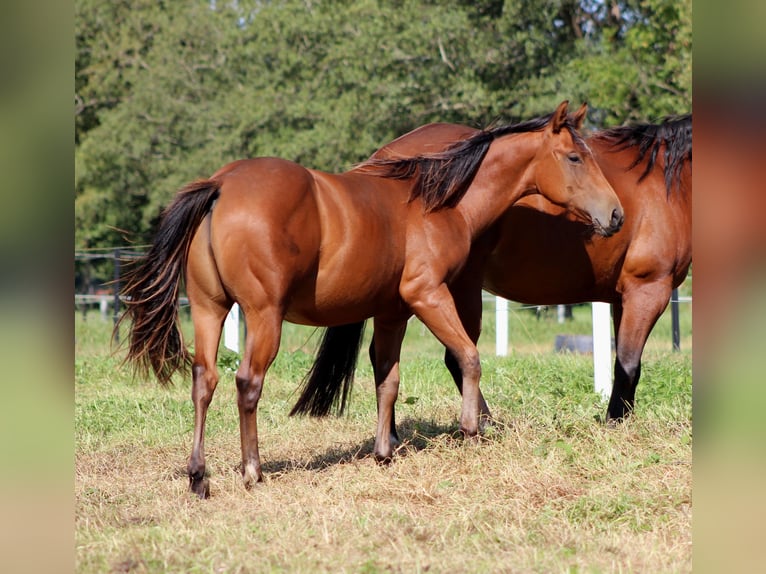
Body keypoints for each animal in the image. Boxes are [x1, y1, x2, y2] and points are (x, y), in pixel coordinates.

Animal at [117, 101, 623, 497]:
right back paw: (252, 471)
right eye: (575, 157)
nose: (616, 215)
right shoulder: (427, 295)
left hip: (210, 311)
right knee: (247, 383)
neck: (436, 201)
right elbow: (469, 357)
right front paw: (470, 430)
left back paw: (199, 476)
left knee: (204, 382)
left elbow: (388, 380)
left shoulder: (392, 311)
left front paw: (384, 452)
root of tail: (222, 184)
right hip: (263, 318)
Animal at [297, 113, 690, 451]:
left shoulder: (622, 299)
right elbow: (628, 364)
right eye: (575, 158)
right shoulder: (647, 289)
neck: (665, 181)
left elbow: (624, 362)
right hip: (452, 290)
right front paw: (615, 425)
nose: (615, 215)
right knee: (450, 357)